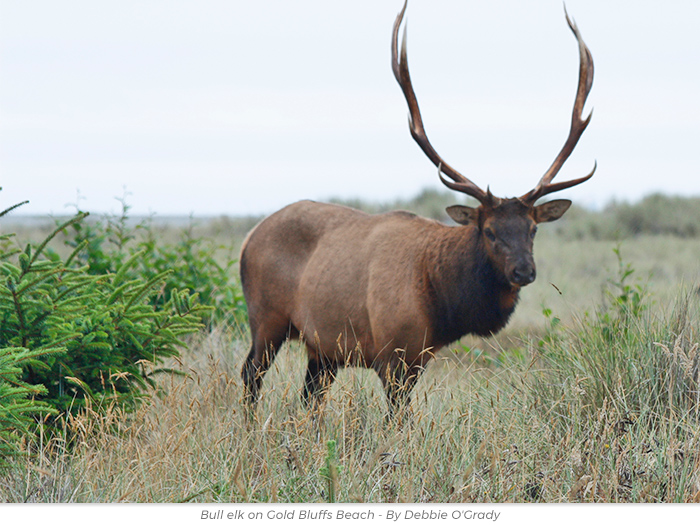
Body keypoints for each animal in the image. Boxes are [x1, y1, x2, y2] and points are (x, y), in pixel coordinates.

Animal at [239, 1, 596, 418]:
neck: (441, 302)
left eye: (533, 229)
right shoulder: (391, 353)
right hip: (266, 319)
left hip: (322, 348)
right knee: (251, 374)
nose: (523, 270)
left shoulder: (417, 357)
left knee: (309, 397)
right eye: (489, 230)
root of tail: (248, 238)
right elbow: (398, 420)